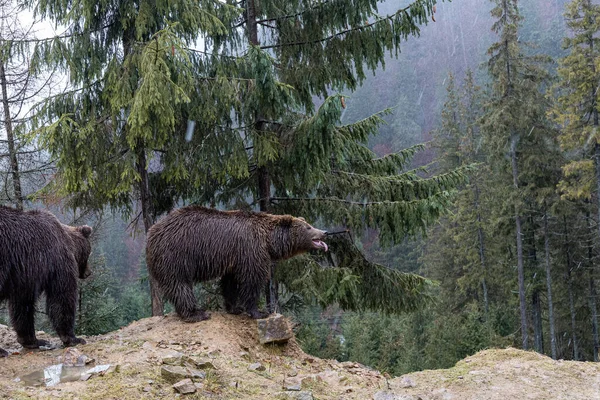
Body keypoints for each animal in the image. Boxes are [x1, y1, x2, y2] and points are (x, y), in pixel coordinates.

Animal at [0, 206, 92, 356]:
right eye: (89, 252)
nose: (89, 272)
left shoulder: (24, 276)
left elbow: (22, 306)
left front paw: (34, 341)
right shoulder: (56, 262)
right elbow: (62, 297)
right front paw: (74, 338)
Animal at [148, 206, 330, 322]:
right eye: (308, 227)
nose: (325, 232)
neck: (269, 241)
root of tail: (152, 233)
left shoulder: (234, 258)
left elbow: (230, 283)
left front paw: (234, 308)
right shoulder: (250, 249)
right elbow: (252, 280)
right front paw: (259, 311)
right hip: (177, 254)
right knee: (180, 284)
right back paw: (196, 314)